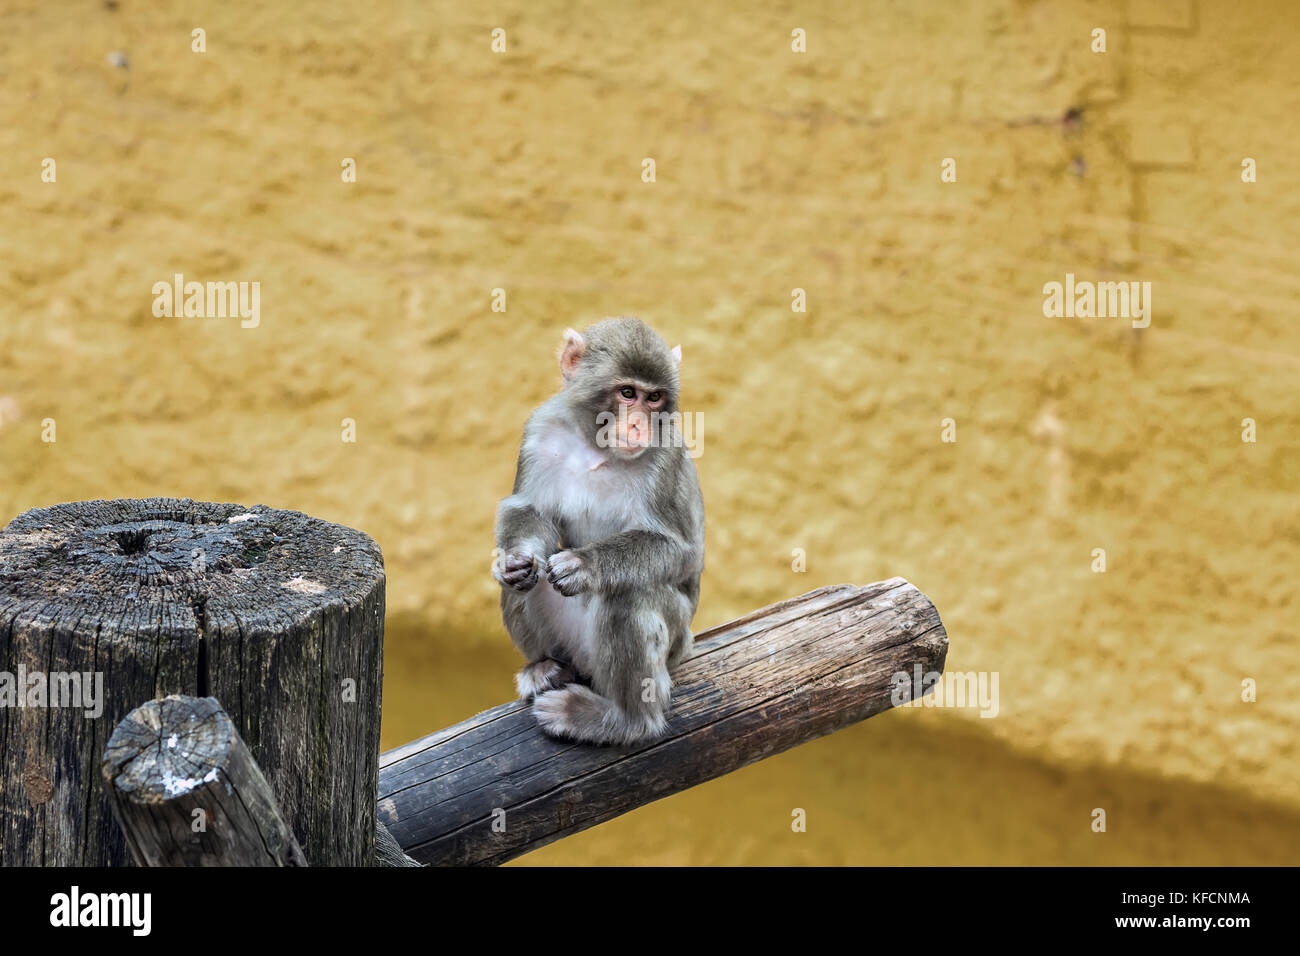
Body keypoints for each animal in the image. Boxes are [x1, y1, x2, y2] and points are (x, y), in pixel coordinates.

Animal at [491, 317, 707, 743]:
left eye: (654, 398)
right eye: (627, 393)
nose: (639, 424)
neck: (598, 447)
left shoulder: (667, 454)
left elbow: (680, 550)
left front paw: (584, 565)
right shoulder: (540, 430)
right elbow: (527, 511)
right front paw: (514, 560)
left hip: (675, 637)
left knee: (628, 594)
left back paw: (623, 720)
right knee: (530, 581)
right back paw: (543, 667)